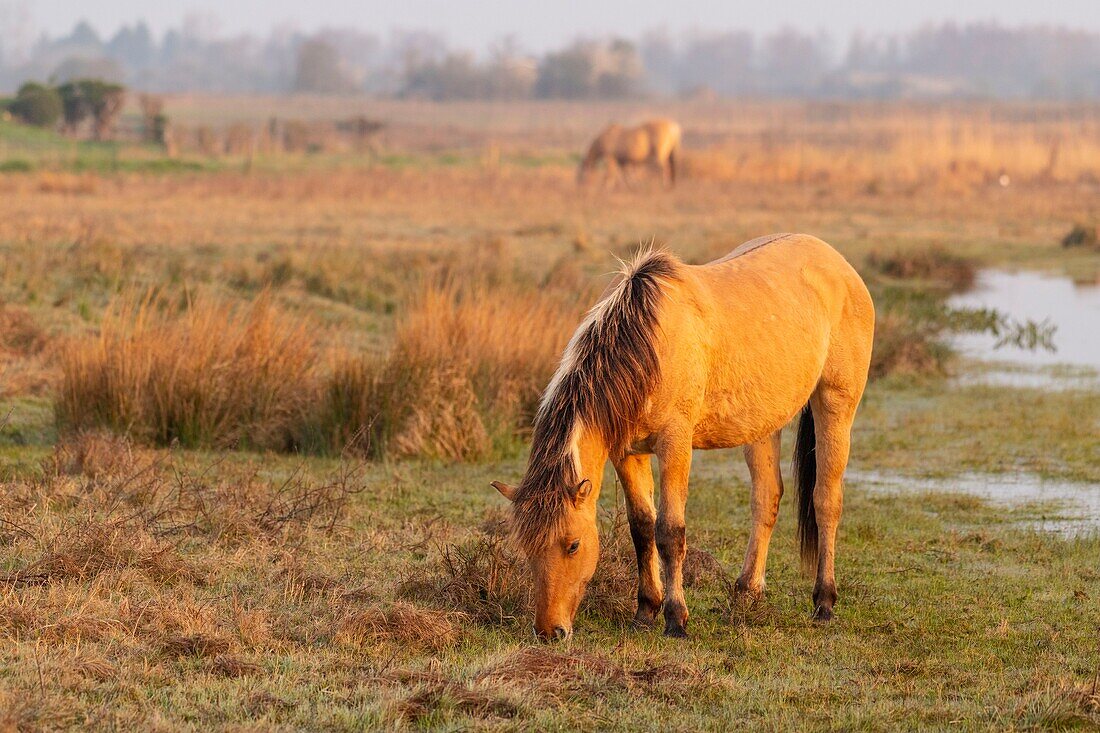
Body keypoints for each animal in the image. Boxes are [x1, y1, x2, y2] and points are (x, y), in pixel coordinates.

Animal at [495, 234, 871, 638]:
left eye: (573, 545)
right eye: (527, 547)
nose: (550, 631)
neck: (647, 346)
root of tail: (837, 263)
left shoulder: (674, 444)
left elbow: (670, 531)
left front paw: (676, 618)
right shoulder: (627, 453)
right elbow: (642, 528)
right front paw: (645, 610)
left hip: (835, 407)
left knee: (826, 500)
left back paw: (824, 601)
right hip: (762, 426)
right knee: (767, 498)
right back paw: (746, 593)